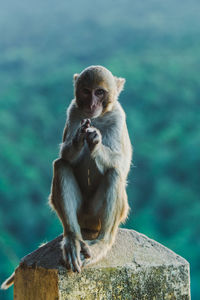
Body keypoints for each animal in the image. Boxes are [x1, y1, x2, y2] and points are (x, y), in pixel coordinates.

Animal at [1, 65, 133, 288]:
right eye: (86, 91)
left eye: (100, 92)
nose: (91, 104)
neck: (98, 117)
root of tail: (88, 224)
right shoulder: (74, 112)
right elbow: (66, 156)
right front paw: (80, 137)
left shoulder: (118, 117)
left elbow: (121, 164)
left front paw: (95, 140)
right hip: (81, 214)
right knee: (61, 165)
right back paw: (73, 240)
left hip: (99, 214)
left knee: (114, 173)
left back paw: (102, 243)